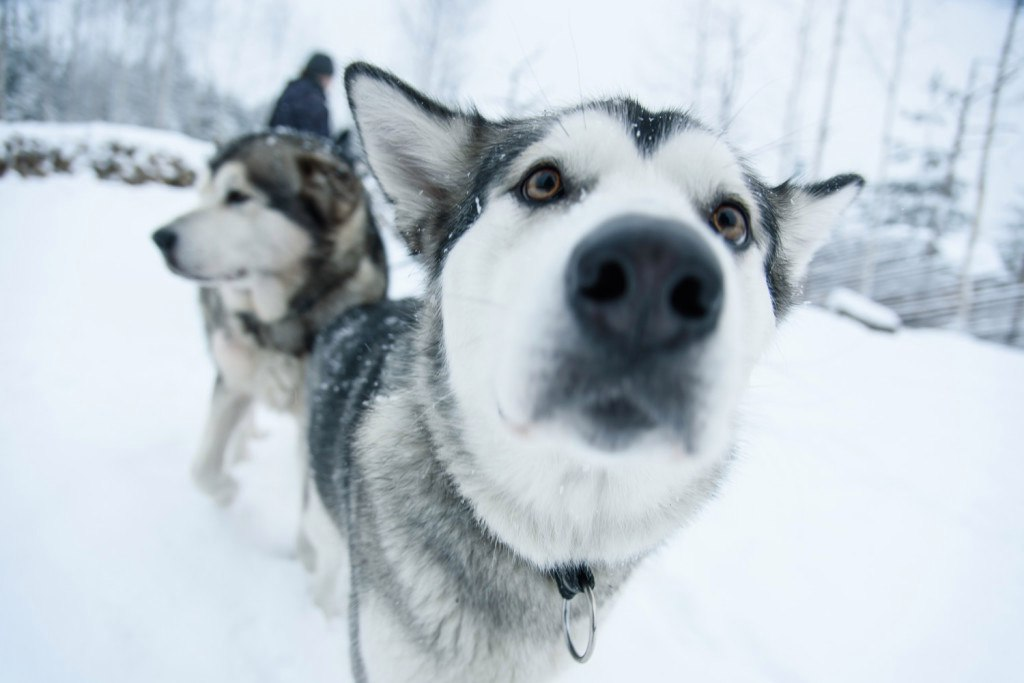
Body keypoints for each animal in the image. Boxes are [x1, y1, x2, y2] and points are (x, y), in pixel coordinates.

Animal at [150, 132, 387, 507]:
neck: (282, 318)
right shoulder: (230, 382)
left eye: (237, 196)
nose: (160, 238)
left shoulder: (311, 419)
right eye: (205, 193)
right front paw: (226, 492)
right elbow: (202, 469)